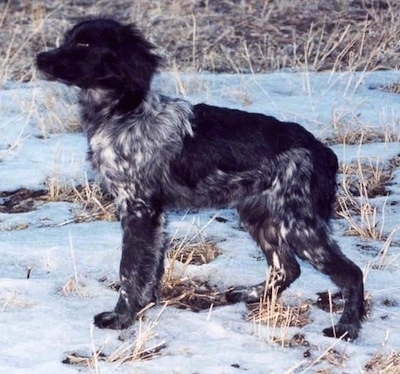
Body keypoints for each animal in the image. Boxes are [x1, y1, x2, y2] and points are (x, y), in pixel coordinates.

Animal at [37, 19, 366, 340]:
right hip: (260, 216)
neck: (123, 114)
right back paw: (251, 294)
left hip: (298, 225)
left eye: (85, 44)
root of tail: (321, 150)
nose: (39, 58)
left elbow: (129, 270)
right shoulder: (155, 216)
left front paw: (121, 317)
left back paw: (347, 328)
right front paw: (145, 306)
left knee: (351, 273)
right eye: (69, 39)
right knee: (287, 268)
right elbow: (150, 268)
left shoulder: (138, 208)